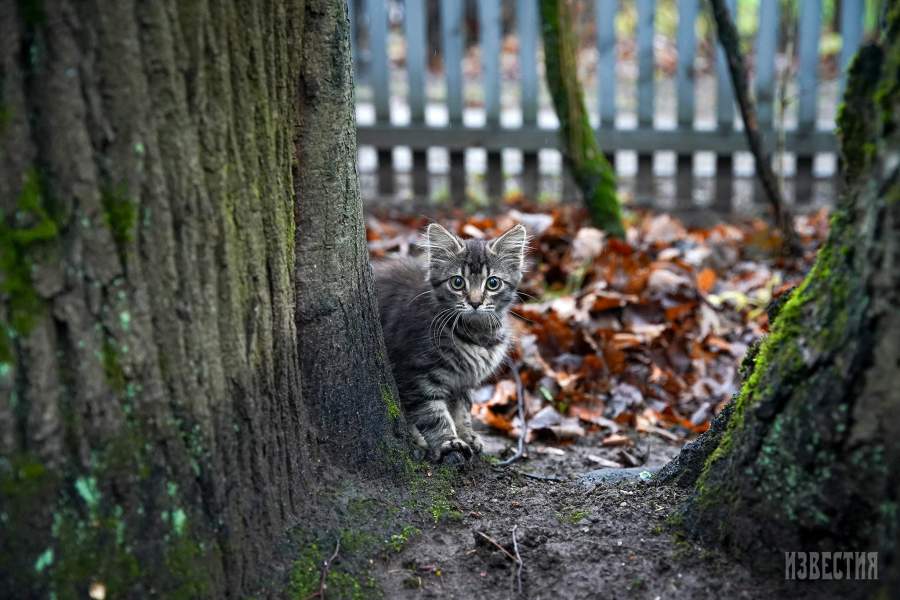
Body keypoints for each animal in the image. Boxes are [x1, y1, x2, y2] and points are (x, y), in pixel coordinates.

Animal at [374, 225, 528, 464]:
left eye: (493, 283)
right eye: (457, 282)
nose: (475, 302)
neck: (476, 334)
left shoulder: (463, 381)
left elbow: (462, 409)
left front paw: (467, 435)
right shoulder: (416, 375)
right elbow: (434, 414)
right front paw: (448, 442)